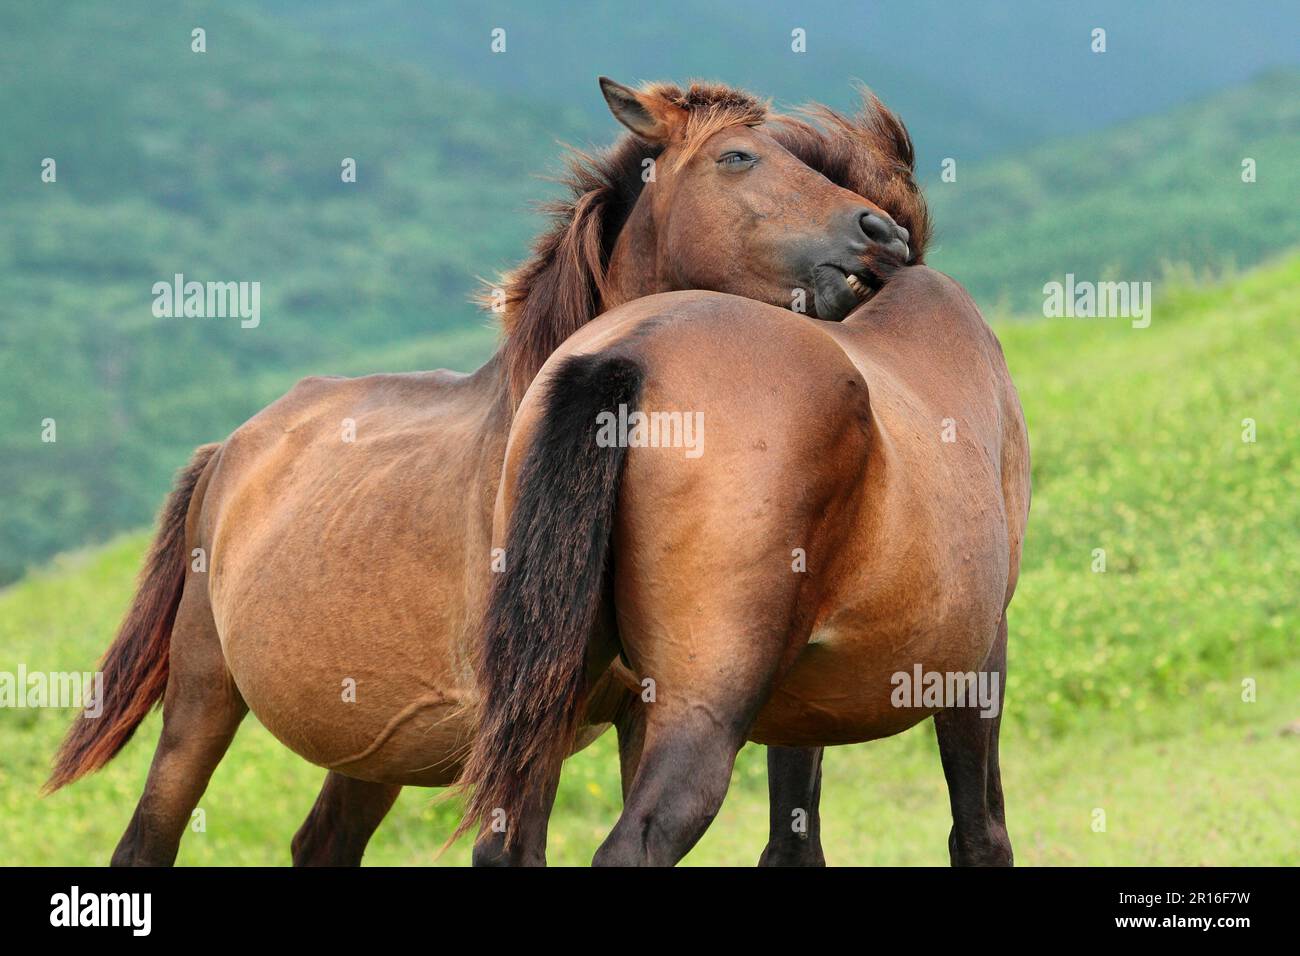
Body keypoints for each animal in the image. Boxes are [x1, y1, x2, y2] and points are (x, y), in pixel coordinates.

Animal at [45, 80, 925, 868]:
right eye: (738, 157)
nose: (882, 233)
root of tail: (229, 449)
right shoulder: (531, 729)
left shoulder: (644, 717)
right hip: (203, 697)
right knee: (148, 837)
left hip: (377, 747)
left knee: (322, 841)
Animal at [462, 267, 1029, 858]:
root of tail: (628, 356)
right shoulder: (979, 658)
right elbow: (980, 829)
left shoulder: (802, 705)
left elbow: (792, 840)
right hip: (702, 709)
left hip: (550, 704)